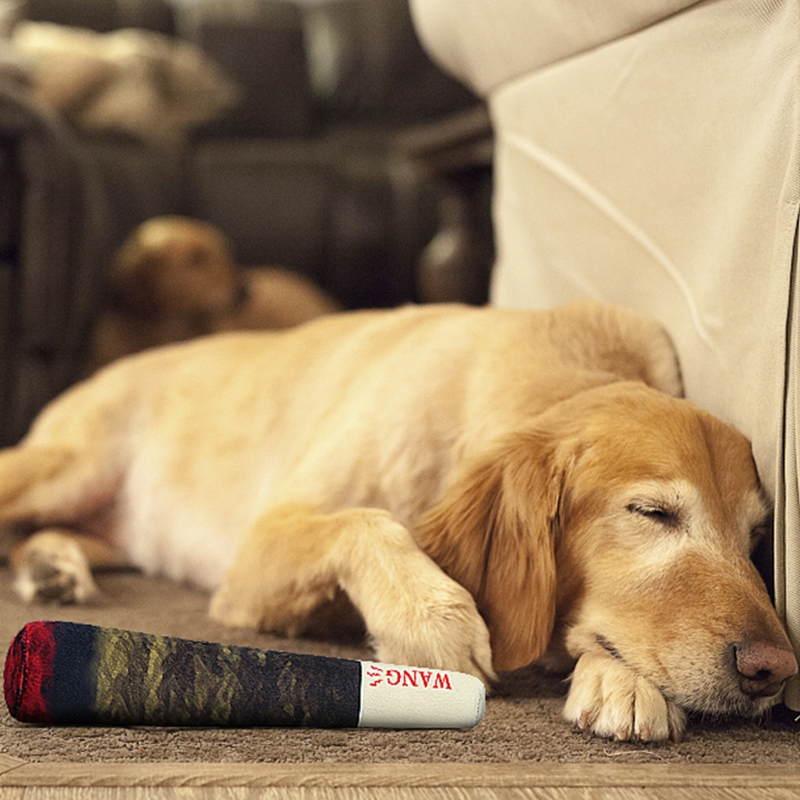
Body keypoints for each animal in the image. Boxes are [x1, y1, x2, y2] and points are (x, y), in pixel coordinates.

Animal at [3, 304, 796, 740]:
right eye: (653, 513)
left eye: (757, 540)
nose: (775, 670)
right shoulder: (258, 552)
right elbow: (368, 522)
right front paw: (431, 618)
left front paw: (619, 682)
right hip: (68, 465)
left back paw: (53, 568)